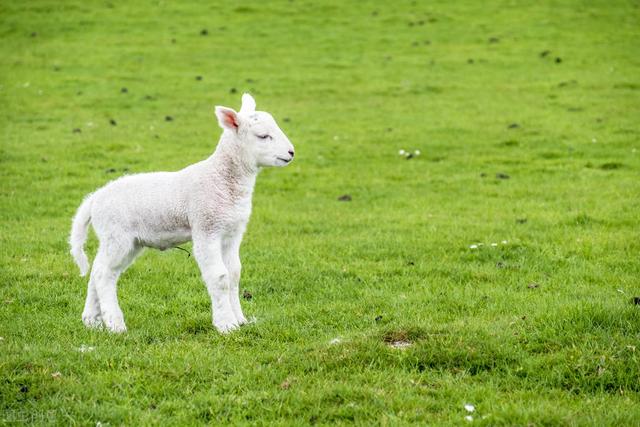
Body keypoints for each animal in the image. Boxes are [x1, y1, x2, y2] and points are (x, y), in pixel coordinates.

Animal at [68, 93, 296, 334]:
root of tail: (94, 198)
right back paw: (115, 325)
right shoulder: (207, 227)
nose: (291, 153)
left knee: (98, 271)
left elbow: (234, 274)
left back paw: (92, 321)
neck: (223, 180)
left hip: (127, 241)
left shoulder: (232, 232)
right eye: (263, 136)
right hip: (116, 235)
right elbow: (220, 276)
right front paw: (226, 324)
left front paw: (240, 320)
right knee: (103, 274)